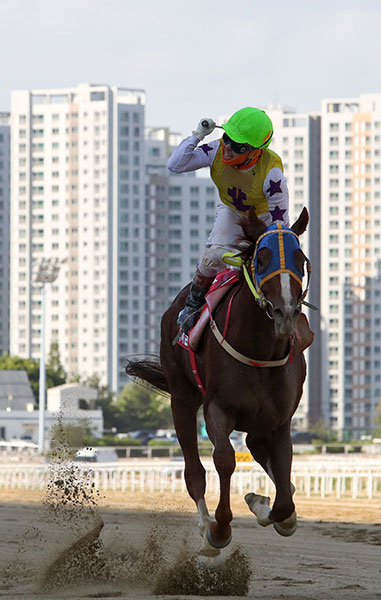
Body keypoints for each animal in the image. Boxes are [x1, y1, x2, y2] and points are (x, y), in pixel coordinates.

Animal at [125, 209, 312, 564]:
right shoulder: (217, 408)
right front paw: (220, 528)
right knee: (194, 471)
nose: (285, 312)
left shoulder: (280, 421)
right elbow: (224, 459)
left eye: (301, 259)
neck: (259, 349)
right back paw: (206, 532)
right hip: (182, 398)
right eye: (261, 258)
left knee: (257, 448)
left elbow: (284, 493)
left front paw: (265, 505)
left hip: (258, 419)